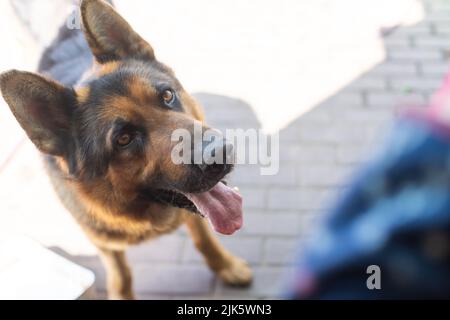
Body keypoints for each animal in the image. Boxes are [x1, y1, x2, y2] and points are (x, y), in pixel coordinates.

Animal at [0, 0, 253, 300]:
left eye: (167, 96)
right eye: (124, 139)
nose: (220, 152)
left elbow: (205, 239)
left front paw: (226, 265)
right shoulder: (104, 244)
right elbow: (121, 276)